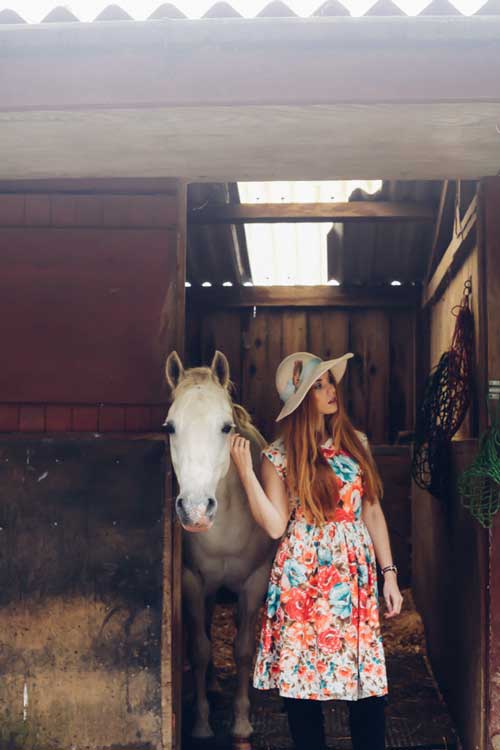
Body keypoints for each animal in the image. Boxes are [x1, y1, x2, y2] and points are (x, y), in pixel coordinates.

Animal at [165, 352, 278, 748]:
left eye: (226, 427)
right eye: (170, 427)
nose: (196, 510)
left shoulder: (255, 581)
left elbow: (243, 650)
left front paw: (241, 723)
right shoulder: (192, 580)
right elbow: (200, 650)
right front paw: (201, 724)